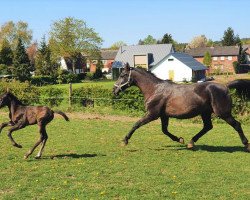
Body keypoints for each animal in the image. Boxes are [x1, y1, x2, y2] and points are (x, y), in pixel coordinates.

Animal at [113, 64, 250, 152]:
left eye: (123, 75)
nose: (114, 90)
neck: (155, 89)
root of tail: (225, 86)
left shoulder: (152, 114)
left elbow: (136, 124)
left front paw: (124, 140)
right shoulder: (163, 115)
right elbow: (164, 130)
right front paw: (180, 139)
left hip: (223, 113)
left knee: (237, 125)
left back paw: (246, 145)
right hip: (205, 113)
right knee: (207, 127)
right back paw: (190, 142)